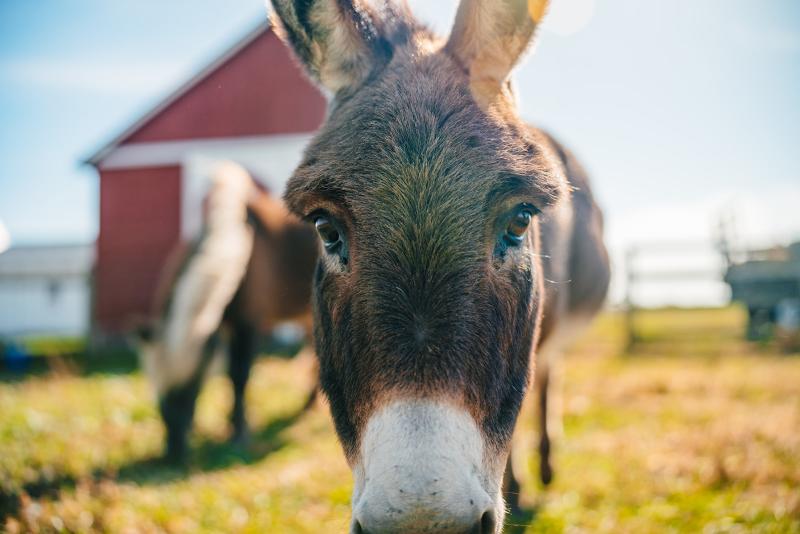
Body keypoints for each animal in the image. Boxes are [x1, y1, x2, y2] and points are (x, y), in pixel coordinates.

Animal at [141, 161, 318, 462]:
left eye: (189, 387)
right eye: (159, 392)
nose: (173, 451)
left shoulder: (248, 323)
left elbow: (239, 373)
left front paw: (239, 432)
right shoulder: (221, 325)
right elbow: (227, 372)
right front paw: (230, 424)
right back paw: (308, 405)